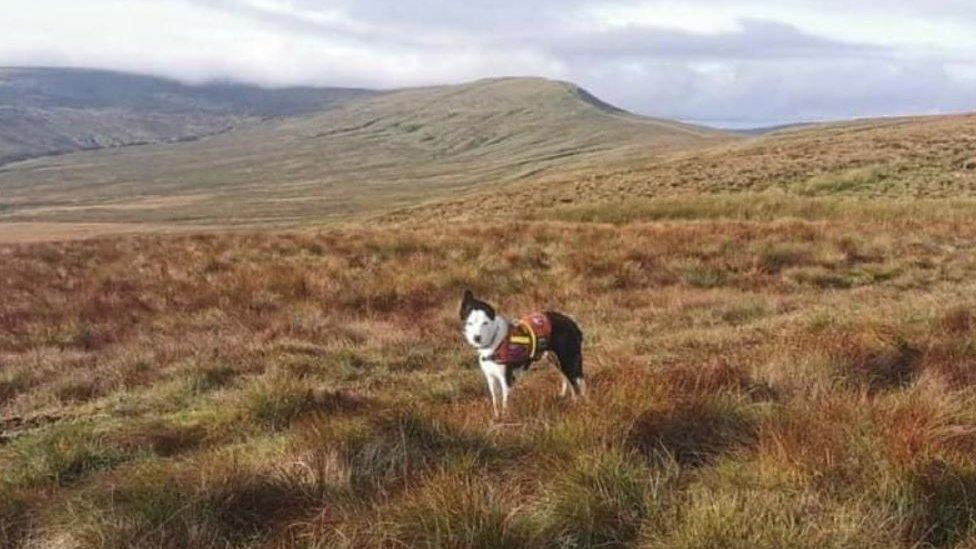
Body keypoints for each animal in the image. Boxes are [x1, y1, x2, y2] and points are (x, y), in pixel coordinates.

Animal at [460, 288, 584, 418]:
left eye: (485, 323)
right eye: (469, 323)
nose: (476, 338)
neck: (494, 341)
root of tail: (571, 322)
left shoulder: (507, 379)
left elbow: (505, 402)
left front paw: (505, 417)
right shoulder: (491, 378)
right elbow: (495, 400)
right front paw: (497, 416)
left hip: (568, 360)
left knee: (578, 384)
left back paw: (578, 403)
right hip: (555, 360)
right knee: (567, 379)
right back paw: (563, 396)